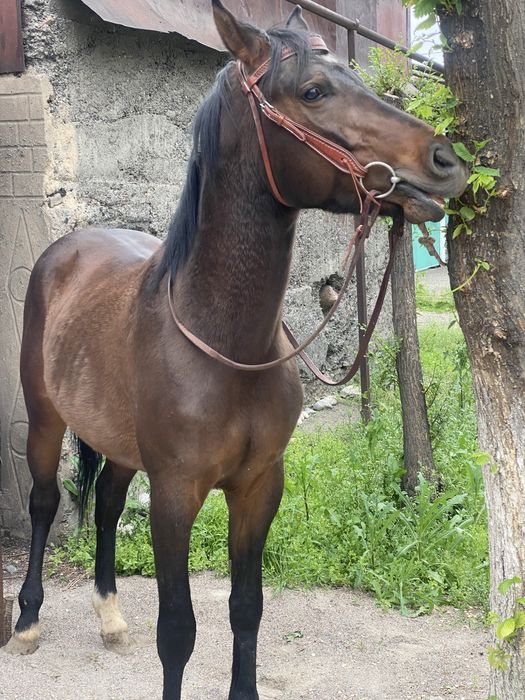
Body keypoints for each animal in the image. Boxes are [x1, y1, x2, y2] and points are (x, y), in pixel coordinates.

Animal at [5, 1, 468, 697]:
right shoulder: (174, 494)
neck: (227, 346)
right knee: (43, 504)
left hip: (120, 445)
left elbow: (246, 609)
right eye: (313, 91)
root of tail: (68, 247)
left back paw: (110, 615)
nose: (445, 160)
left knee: (108, 503)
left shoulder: (258, 486)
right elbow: (178, 631)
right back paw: (28, 621)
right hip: (45, 419)